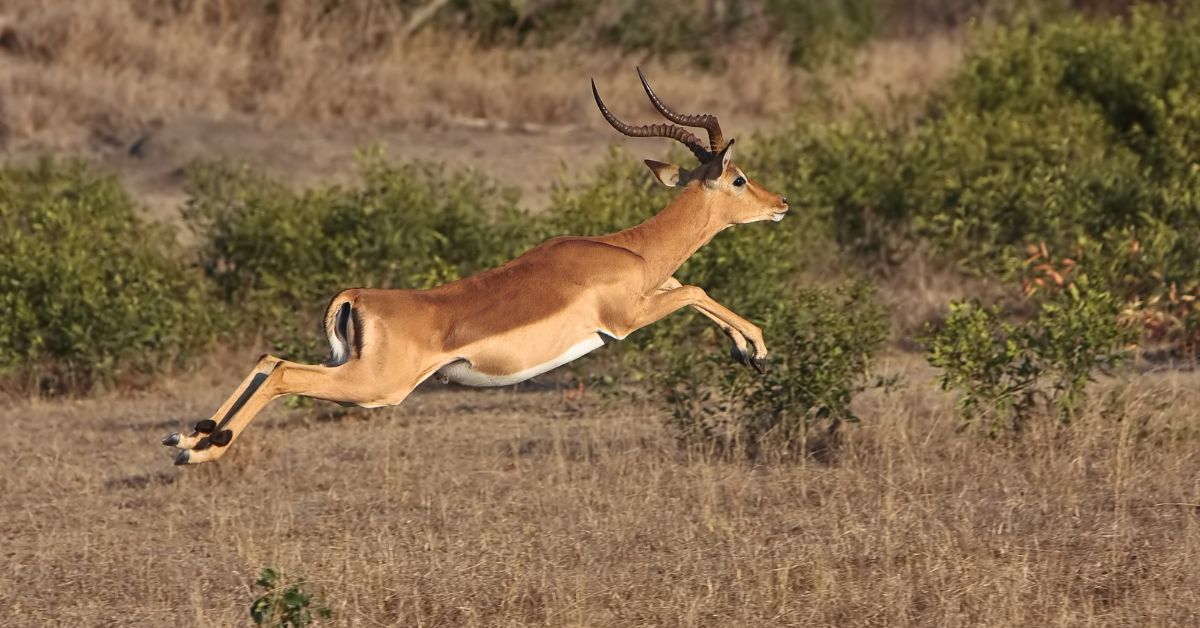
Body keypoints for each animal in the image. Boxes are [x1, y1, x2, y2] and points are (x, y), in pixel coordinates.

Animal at [162, 69, 789, 465]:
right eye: (738, 178)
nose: (781, 203)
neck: (630, 250)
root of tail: (356, 298)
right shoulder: (627, 318)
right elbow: (696, 288)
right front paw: (756, 350)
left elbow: (692, 288)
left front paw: (747, 352)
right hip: (375, 387)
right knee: (283, 372)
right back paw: (204, 451)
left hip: (347, 367)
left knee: (268, 359)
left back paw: (189, 438)